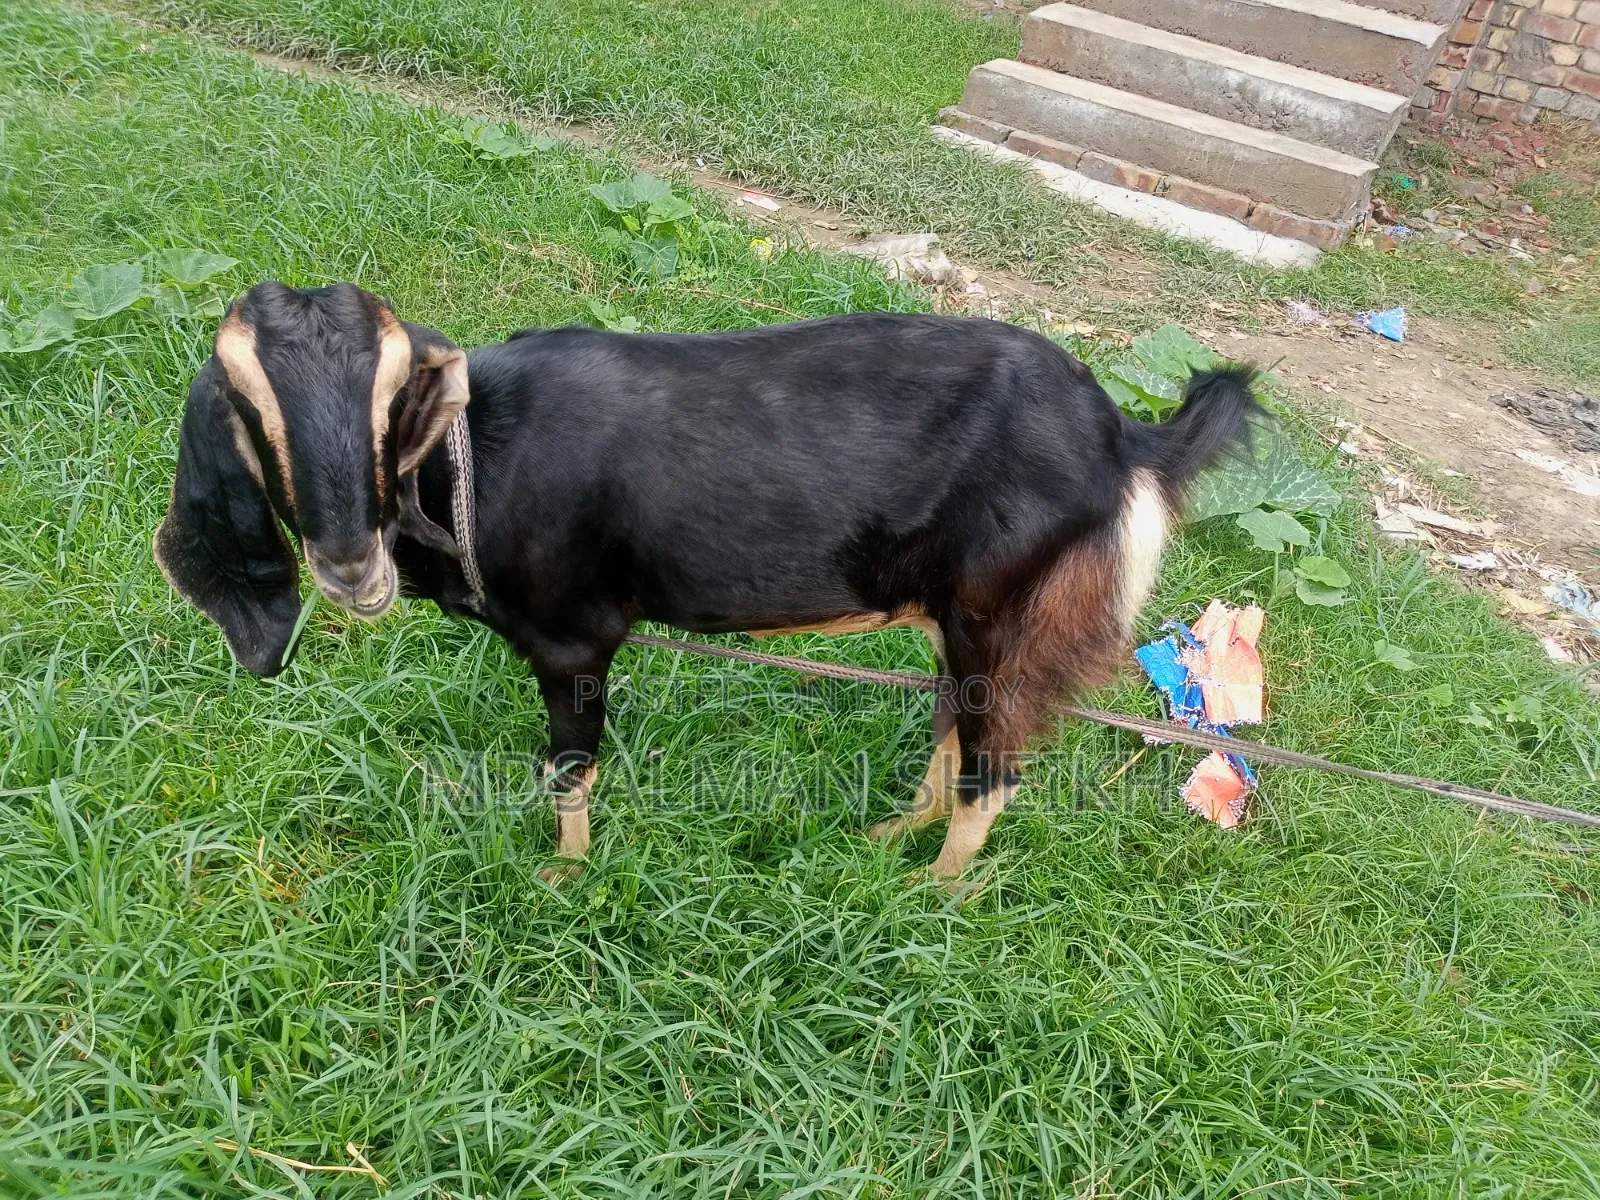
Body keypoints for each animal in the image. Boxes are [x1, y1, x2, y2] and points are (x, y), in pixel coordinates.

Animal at [155, 282, 1258, 882]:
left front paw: (563, 874)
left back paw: (932, 892)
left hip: (1005, 606)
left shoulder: (572, 637)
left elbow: (569, 766)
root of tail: (1122, 437)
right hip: (954, 612)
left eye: (393, 396)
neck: (474, 463)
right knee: (954, 718)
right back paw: (890, 833)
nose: (348, 562)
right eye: (249, 408)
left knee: (998, 759)